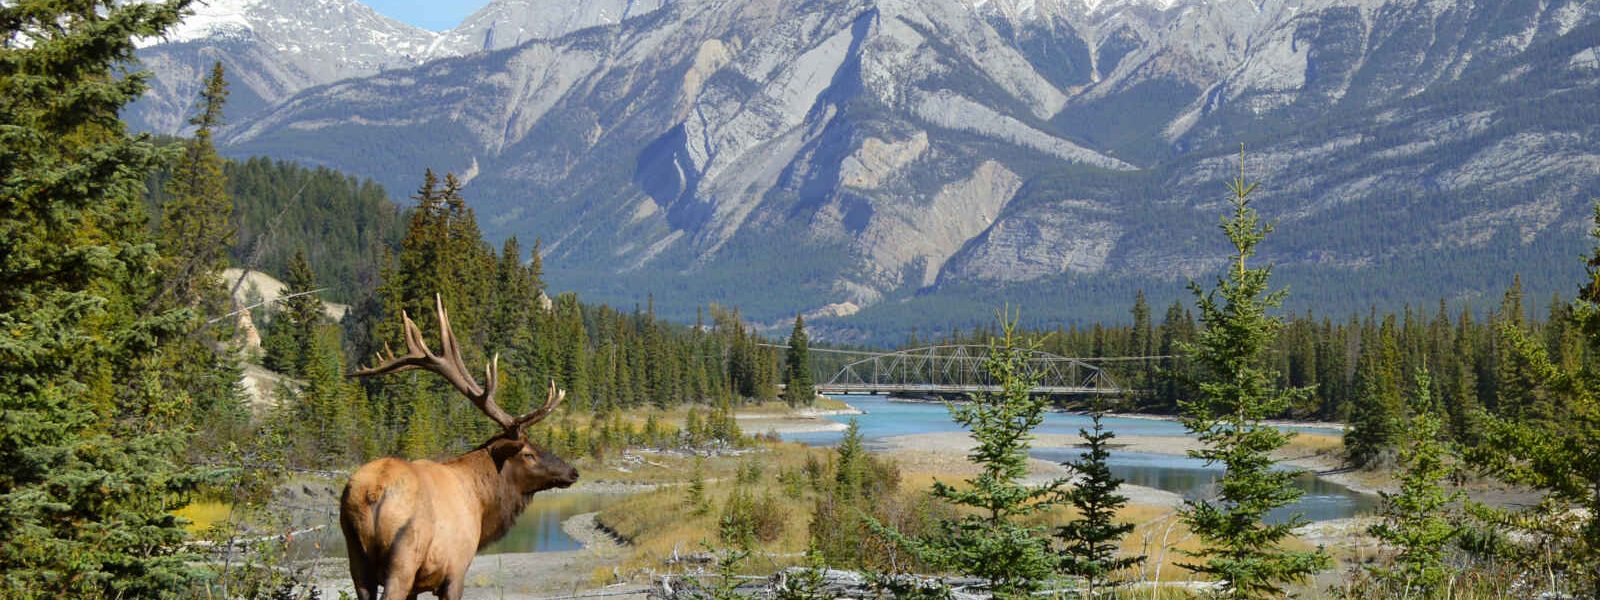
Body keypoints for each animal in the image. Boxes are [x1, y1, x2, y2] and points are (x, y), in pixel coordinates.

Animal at [340, 297, 579, 600]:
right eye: (528, 453)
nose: (572, 471)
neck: (482, 501)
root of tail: (372, 492)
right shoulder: (455, 569)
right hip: (403, 557)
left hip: (355, 557)